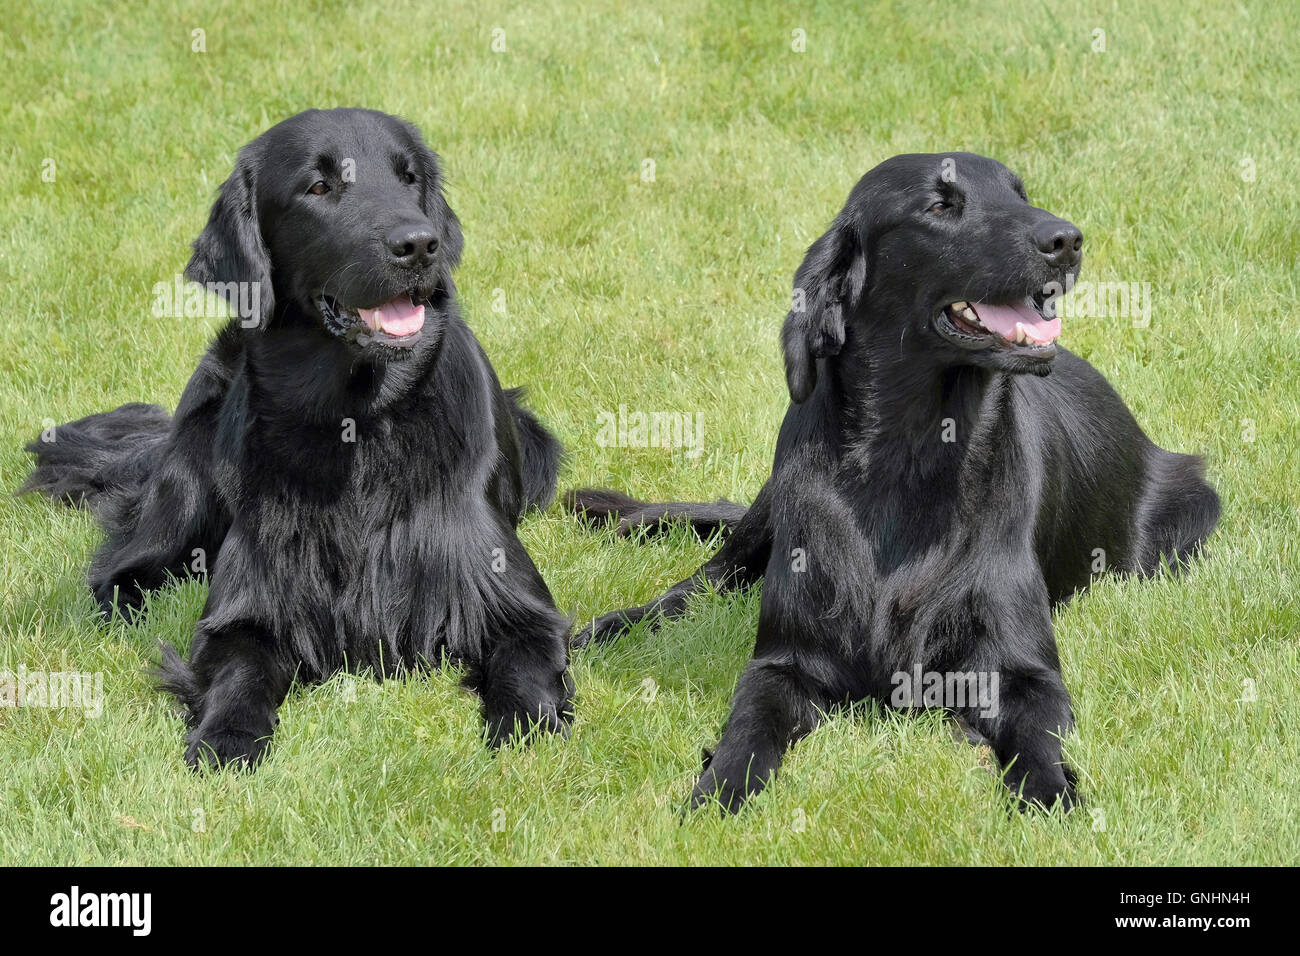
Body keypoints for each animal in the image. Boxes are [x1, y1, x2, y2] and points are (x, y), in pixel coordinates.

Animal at [21, 108, 574, 767]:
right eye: (318, 187)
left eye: (408, 178)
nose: (419, 244)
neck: (358, 424)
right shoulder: (247, 608)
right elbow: (238, 670)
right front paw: (227, 737)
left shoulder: (511, 599)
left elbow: (525, 666)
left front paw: (526, 731)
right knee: (119, 572)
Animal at [566, 152, 1220, 813]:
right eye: (940, 205)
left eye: (1019, 194)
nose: (1067, 240)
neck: (911, 458)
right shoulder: (782, 661)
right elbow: (747, 728)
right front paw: (718, 791)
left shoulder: (1023, 671)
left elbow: (1040, 742)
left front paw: (1050, 795)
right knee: (695, 587)